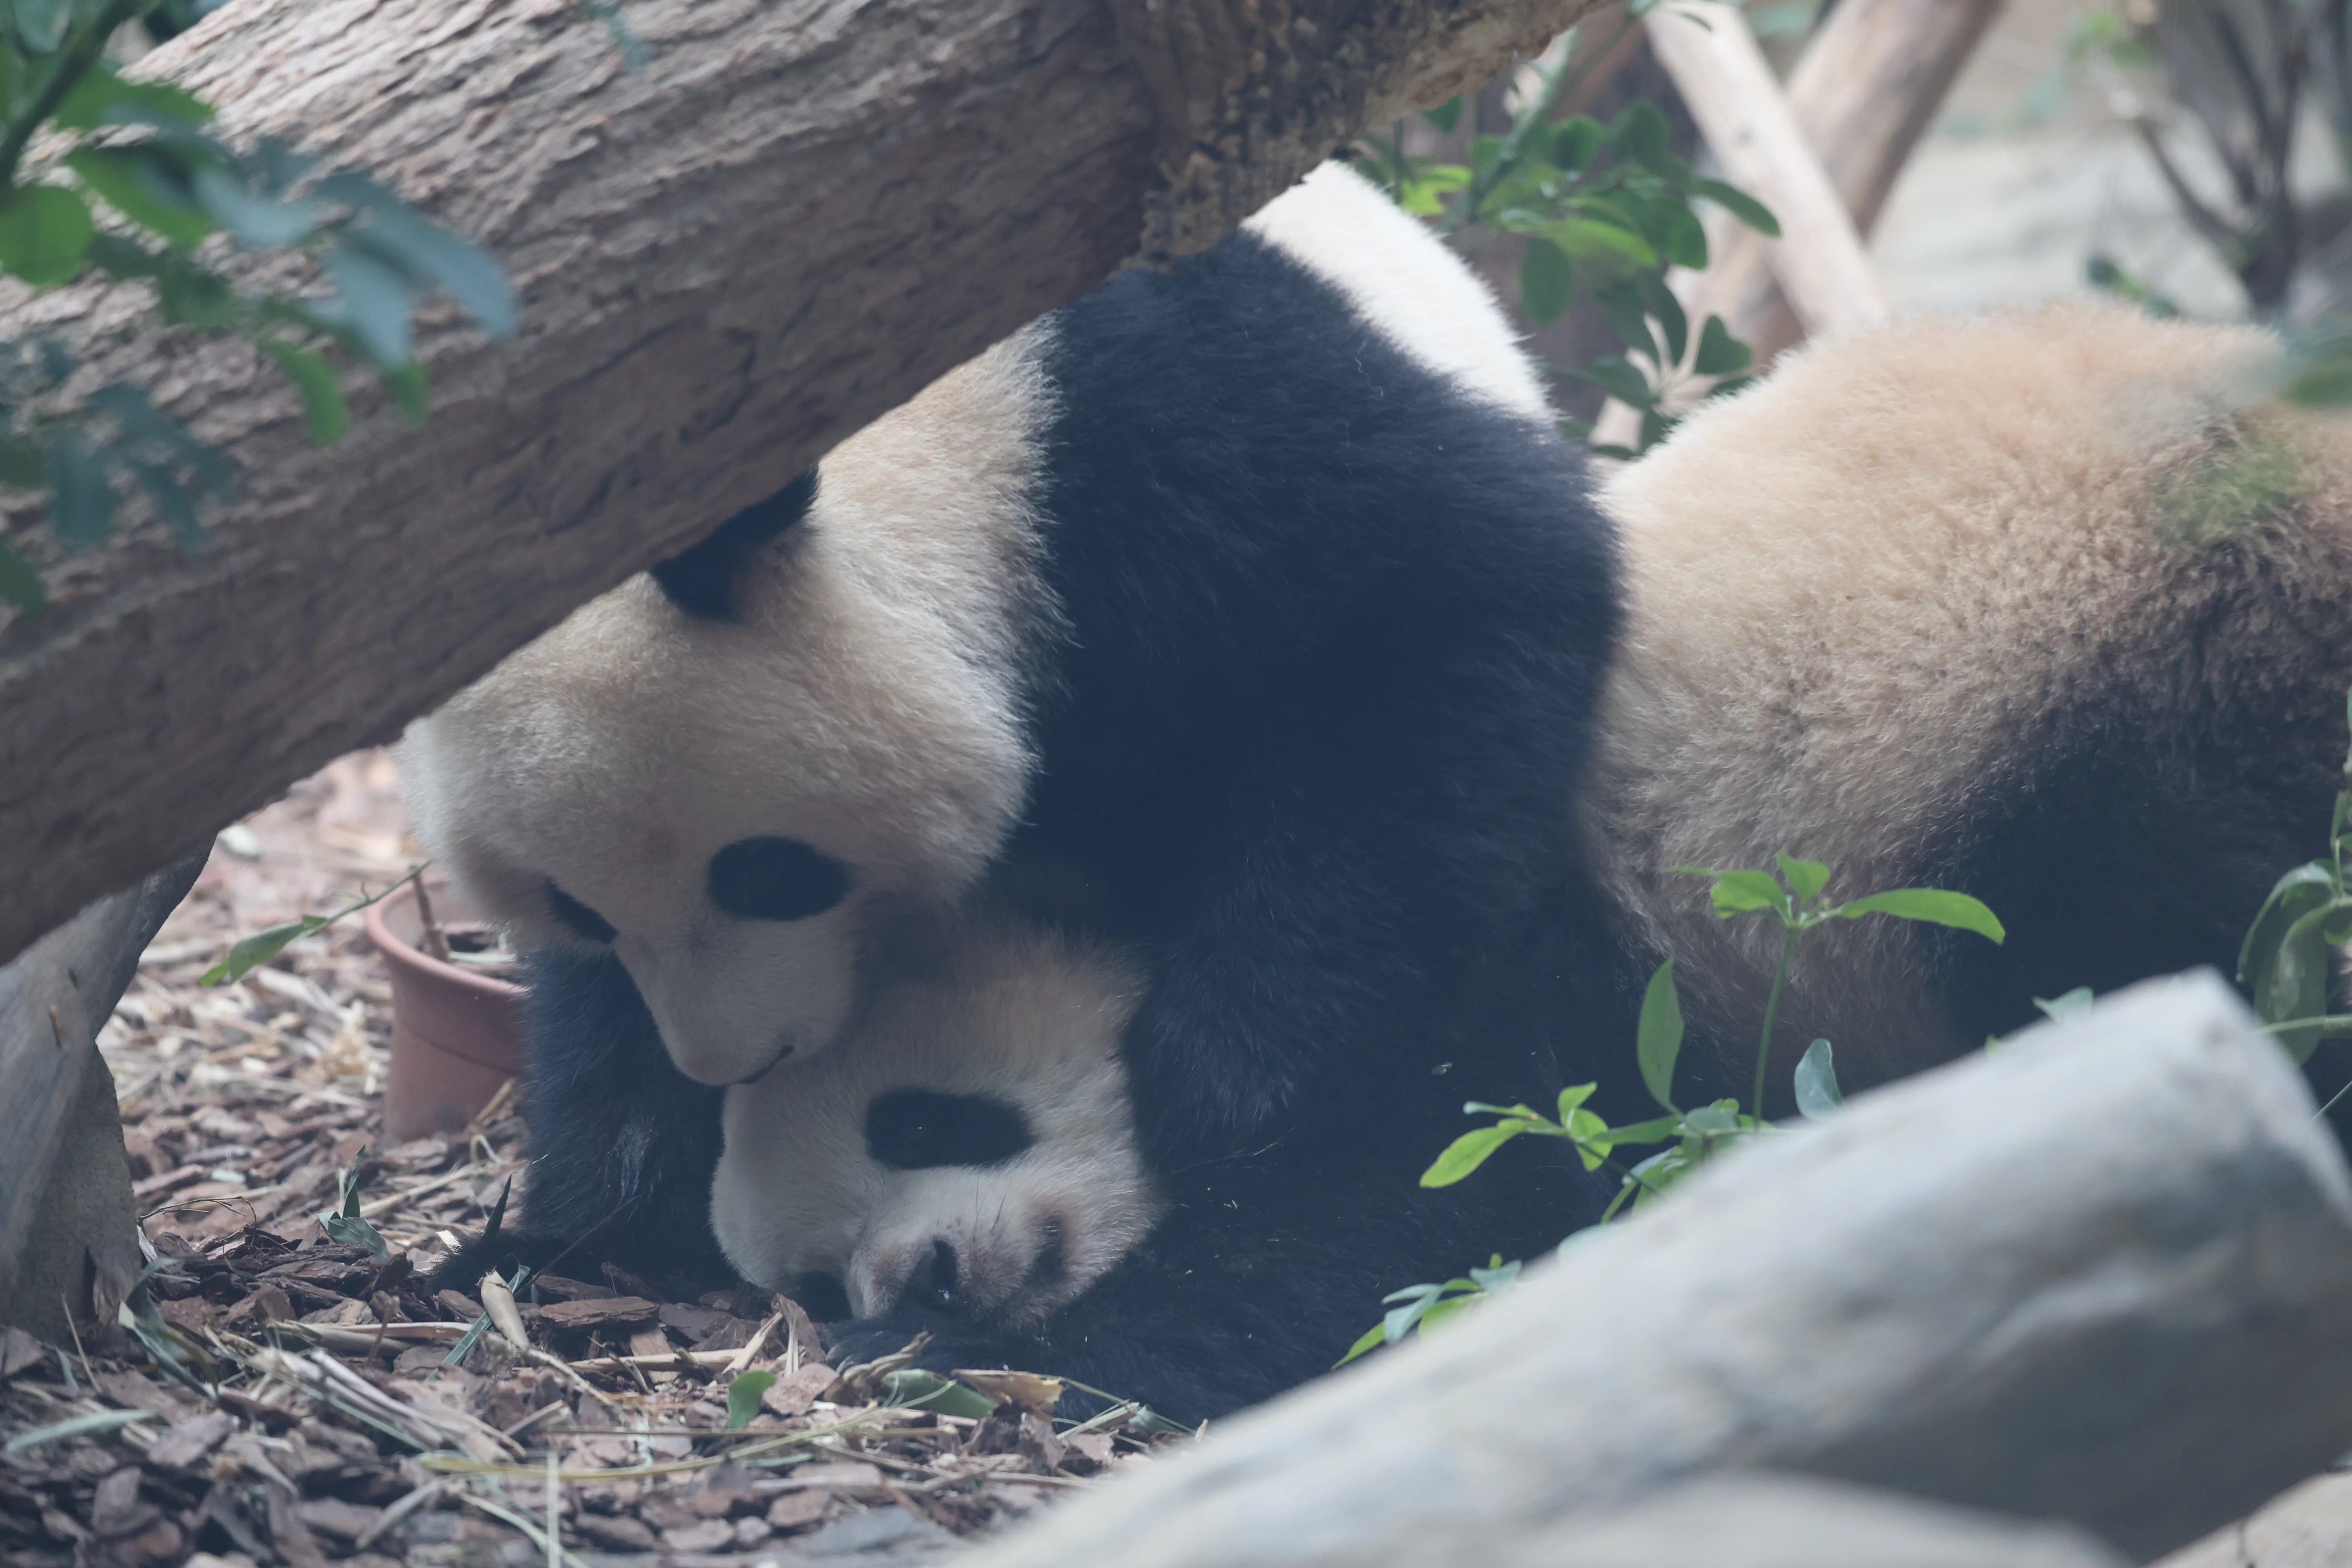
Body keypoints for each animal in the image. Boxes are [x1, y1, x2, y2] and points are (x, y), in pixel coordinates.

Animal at [404, 160, 1620, 1282]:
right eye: (579, 907)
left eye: (765, 873)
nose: (732, 1061)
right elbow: (590, 1019)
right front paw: (590, 1225)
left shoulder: (1173, 450)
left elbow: (1450, 612)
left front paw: (1225, 1087)